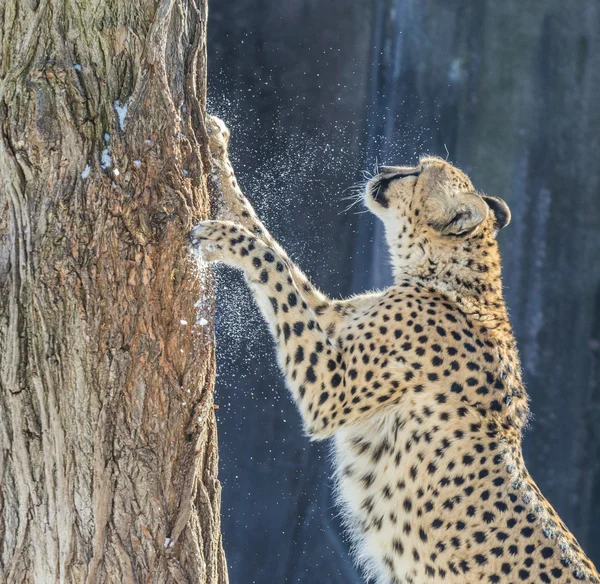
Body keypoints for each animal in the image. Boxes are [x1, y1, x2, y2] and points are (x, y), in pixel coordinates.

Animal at [189, 116, 600, 580]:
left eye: (417, 173)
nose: (385, 167)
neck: (452, 278)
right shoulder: (332, 319)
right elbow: (273, 248)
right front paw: (217, 148)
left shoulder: (330, 392)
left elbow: (273, 265)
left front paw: (225, 238)